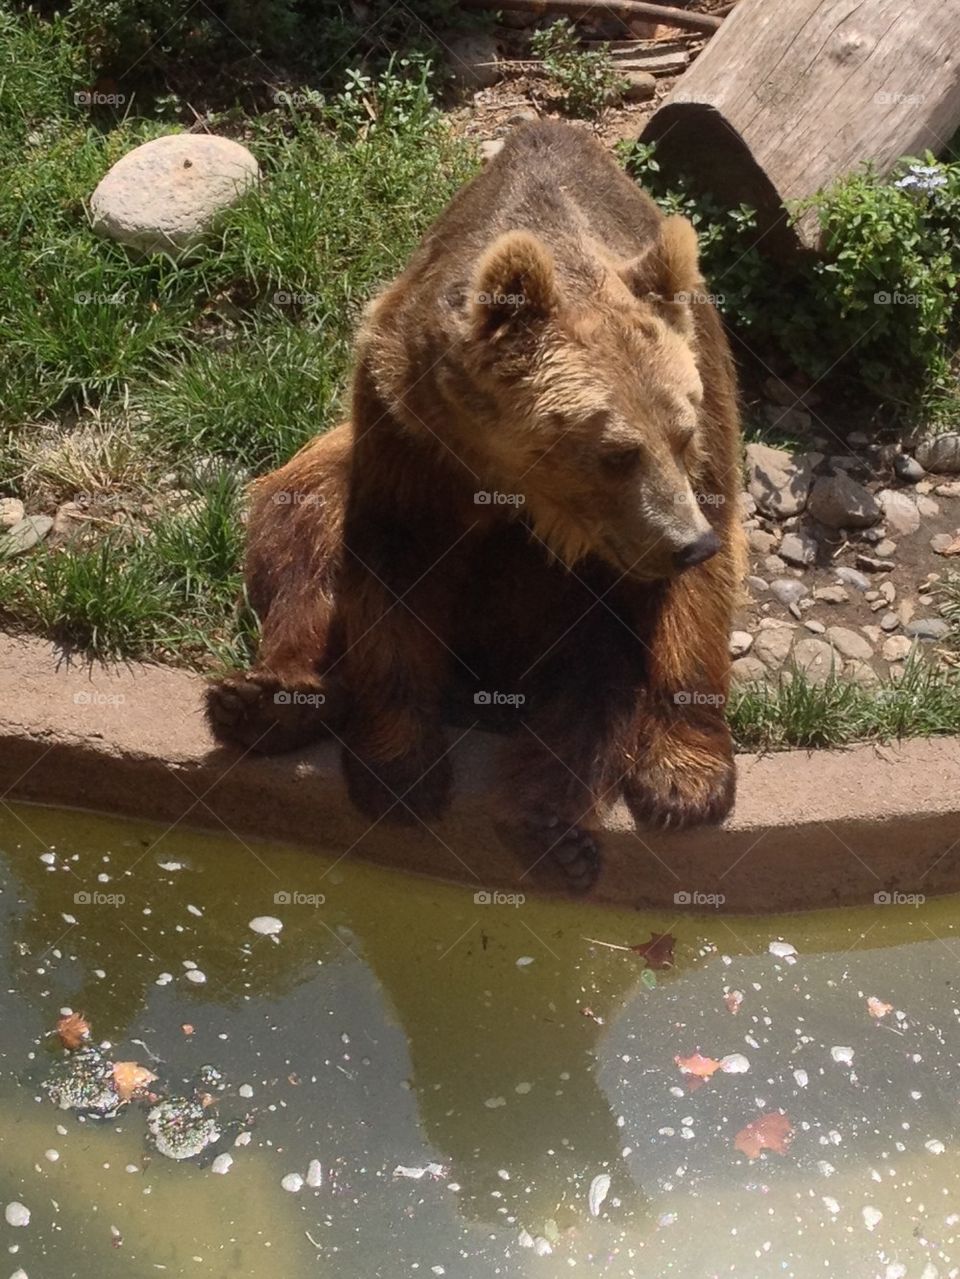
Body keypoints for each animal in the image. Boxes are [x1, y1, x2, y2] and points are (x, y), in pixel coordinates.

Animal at [206, 120, 746, 891]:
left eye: (681, 432)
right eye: (616, 452)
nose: (686, 542)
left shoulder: (703, 387)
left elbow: (694, 593)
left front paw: (685, 781)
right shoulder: (406, 420)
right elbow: (392, 562)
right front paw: (400, 769)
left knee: (592, 683)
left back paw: (550, 825)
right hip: (328, 463)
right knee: (301, 525)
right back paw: (267, 701)